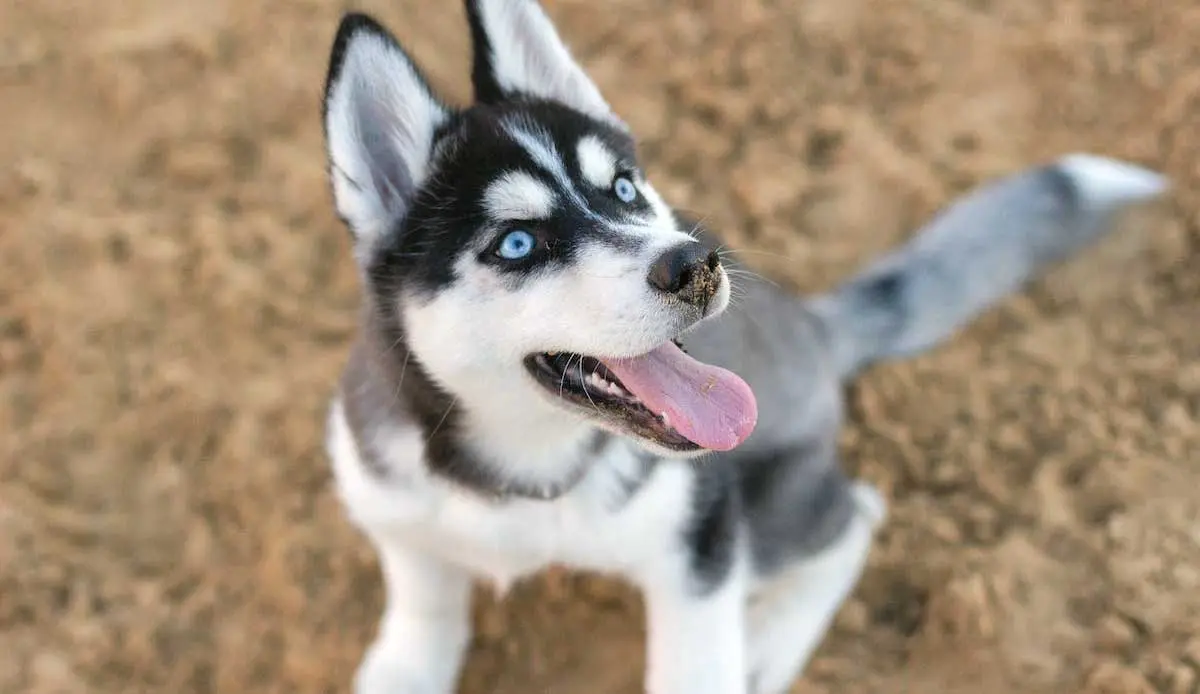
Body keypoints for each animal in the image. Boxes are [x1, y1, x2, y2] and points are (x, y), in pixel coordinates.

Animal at [316, 2, 1161, 686]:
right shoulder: (391, 504)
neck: (523, 470)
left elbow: (698, 664)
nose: (695, 262)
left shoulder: (700, 547)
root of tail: (812, 325)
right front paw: (407, 663)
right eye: (516, 243)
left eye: (624, 188)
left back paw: (770, 641)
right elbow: (423, 595)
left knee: (857, 513)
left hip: (772, 513)